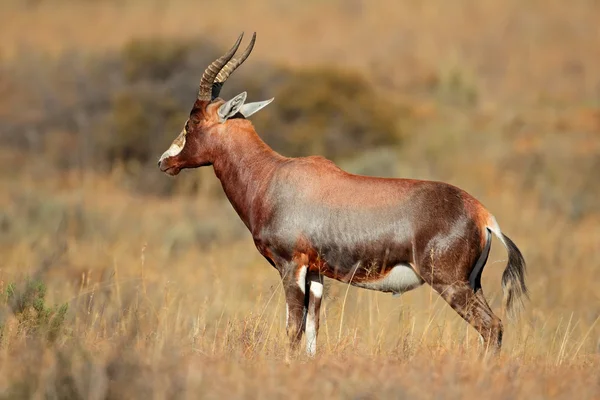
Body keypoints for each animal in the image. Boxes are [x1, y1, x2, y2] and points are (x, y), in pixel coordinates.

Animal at [157, 32, 528, 354]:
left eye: (191, 122)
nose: (164, 162)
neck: (274, 176)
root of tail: (483, 214)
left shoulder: (291, 267)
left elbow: (293, 330)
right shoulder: (317, 274)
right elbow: (311, 335)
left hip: (451, 284)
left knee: (491, 326)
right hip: (472, 283)